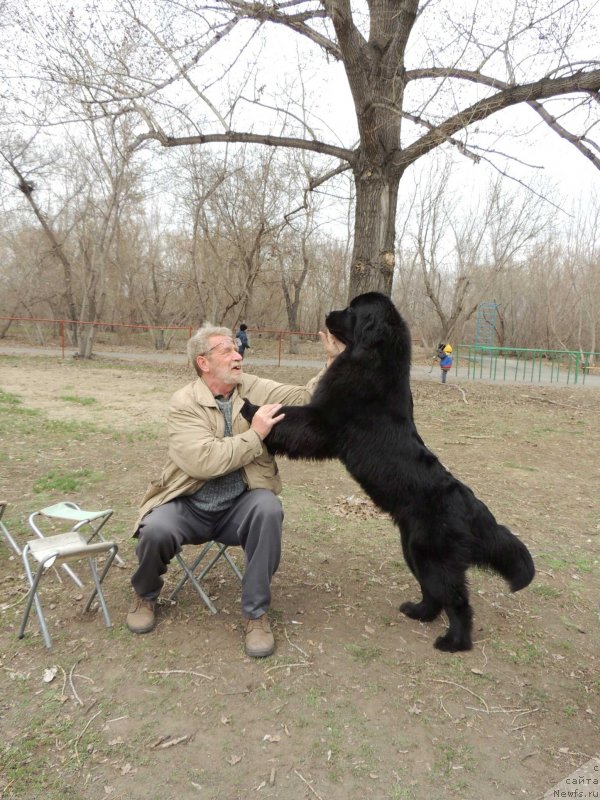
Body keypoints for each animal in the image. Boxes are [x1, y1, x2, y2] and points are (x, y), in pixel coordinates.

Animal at [244, 292, 536, 648]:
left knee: (457, 601)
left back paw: (454, 642)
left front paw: (251, 409)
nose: (327, 313)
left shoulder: (322, 420)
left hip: (433, 555)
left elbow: (288, 418)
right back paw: (418, 612)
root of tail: (472, 508)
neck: (375, 358)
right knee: (433, 593)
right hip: (413, 549)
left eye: (351, 310)